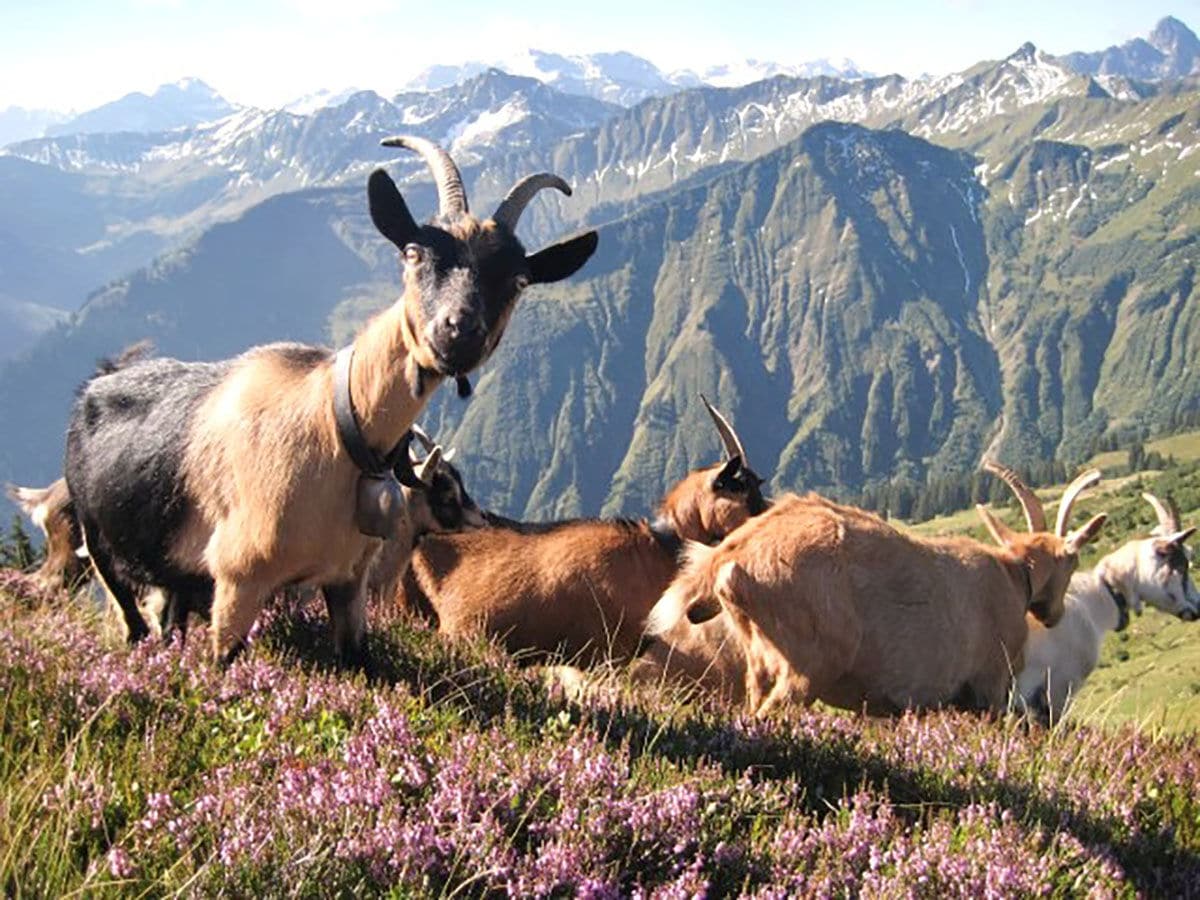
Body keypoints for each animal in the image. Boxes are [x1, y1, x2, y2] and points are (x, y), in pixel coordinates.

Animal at [60, 135, 595, 672]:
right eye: (414, 252)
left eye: (519, 280)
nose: (459, 332)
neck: (336, 426)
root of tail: (100, 379)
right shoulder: (238, 582)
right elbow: (222, 663)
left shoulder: (346, 582)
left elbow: (359, 661)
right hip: (101, 546)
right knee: (132, 622)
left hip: (173, 575)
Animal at [648, 465, 1104, 720]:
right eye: (1073, 560)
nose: (1053, 613)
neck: (1012, 576)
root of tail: (734, 553)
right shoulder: (987, 689)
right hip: (808, 666)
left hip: (759, 662)